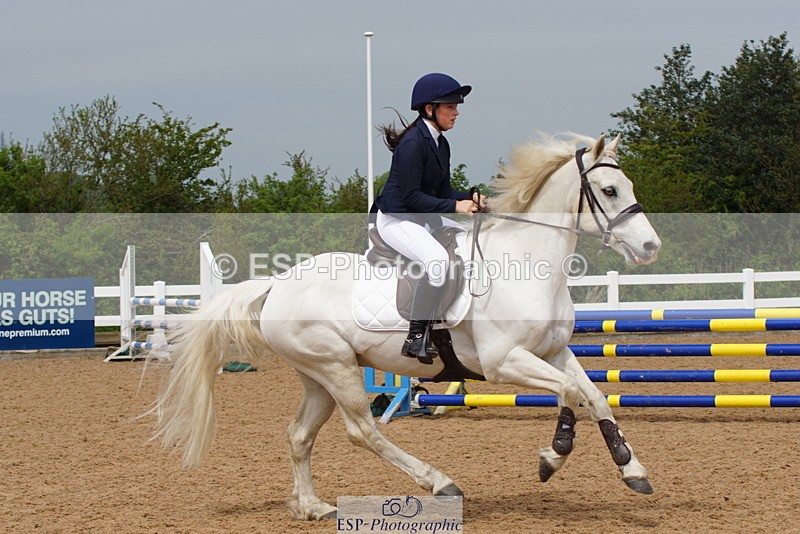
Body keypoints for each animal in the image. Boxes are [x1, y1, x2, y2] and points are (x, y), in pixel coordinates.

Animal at [150, 132, 662, 521]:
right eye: (610, 190)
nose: (650, 247)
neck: (528, 263)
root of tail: (277, 285)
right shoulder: (505, 362)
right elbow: (571, 393)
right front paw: (553, 455)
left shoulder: (554, 352)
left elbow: (594, 394)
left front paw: (632, 470)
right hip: (336, 368)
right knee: (363, 430)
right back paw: (440, 482)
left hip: (317, 375)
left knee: (299, 434)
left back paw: (313, 507)